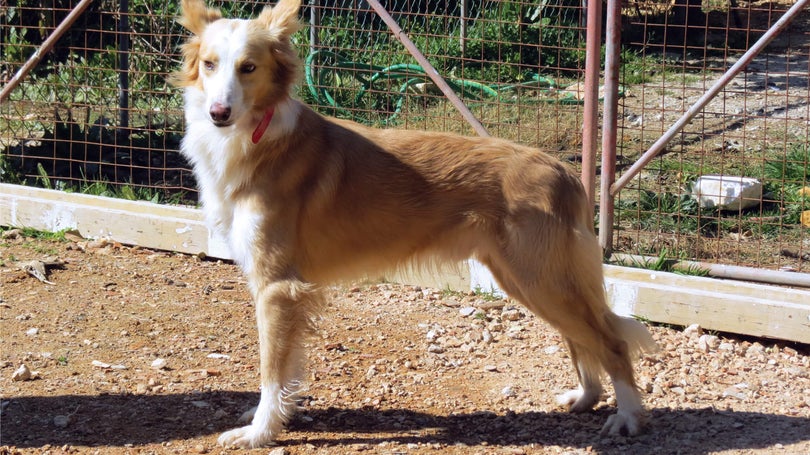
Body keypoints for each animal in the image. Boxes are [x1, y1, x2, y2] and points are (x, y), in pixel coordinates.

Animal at [172, 0, 656, 448]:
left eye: (248, 68)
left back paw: (628, 417)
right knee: (582, 339)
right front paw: (278, 420)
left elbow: (272, 371)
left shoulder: (278, 287)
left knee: (610, 341)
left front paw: (259, 432)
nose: (218, 113)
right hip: (530, 280)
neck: (258, 139)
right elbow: (288, 369)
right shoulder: (287, 291)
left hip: (540, 278)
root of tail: (564, 170)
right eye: (210, 64)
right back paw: (586, 397)